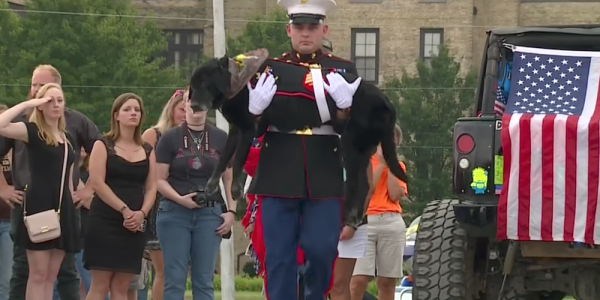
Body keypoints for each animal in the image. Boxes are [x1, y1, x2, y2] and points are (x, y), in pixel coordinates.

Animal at [191, 50, 408, 224]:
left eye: (204, 83)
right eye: (193, 85)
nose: (193, 105)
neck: (237, 77)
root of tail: (386, 100)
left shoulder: (248, 127)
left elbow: (237, 160)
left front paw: (235, 189)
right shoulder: (237, 129)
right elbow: (225, 158)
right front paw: (211, 184)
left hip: (350, 145)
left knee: (356, 184)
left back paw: (347, 216)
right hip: (361, 150)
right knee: (365, 184)